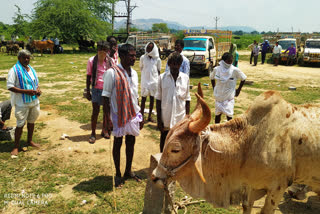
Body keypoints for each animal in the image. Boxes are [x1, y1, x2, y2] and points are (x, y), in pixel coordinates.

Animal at [152, 85, 320, 214]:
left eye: (175, 150)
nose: (154, 177)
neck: (250, 141)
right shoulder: (251, 187)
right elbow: (247, 207)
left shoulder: (278, 188)